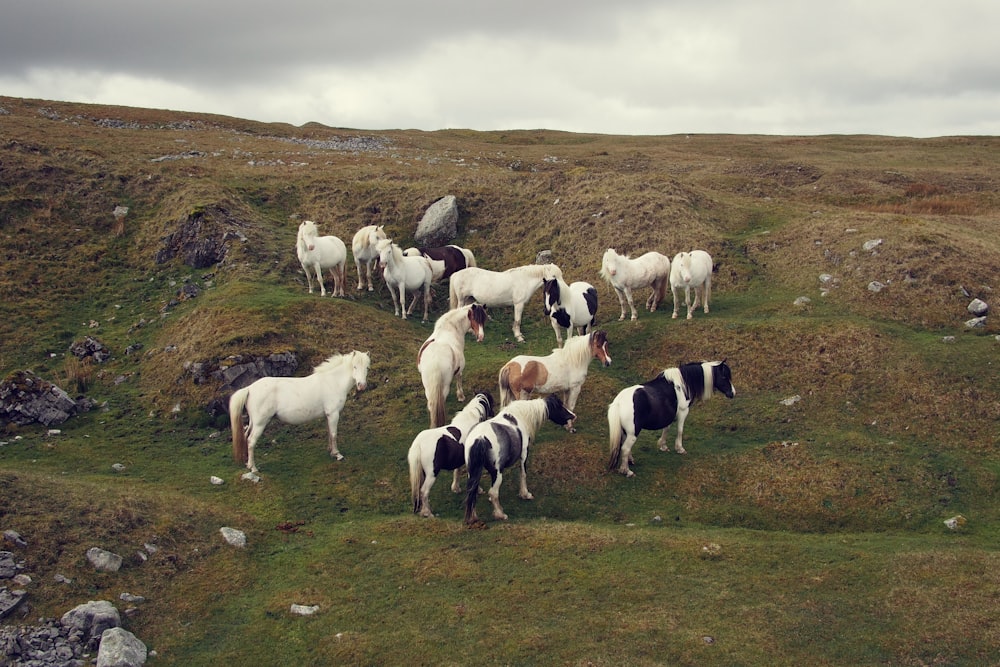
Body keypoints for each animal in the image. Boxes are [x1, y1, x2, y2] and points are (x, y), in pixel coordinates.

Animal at [230, 350, 372, 474]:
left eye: (367, 368)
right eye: (354, 367)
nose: (362, 386)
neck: (333, 382)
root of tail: (249, 388)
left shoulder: (328, 415)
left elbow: (329, 433)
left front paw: (331, 451)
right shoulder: (333, 414)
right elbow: (333, 434)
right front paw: (337, 454)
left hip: (253, 422)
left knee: (246, 436)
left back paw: (247, 463)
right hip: (260, 424)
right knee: (251, 441)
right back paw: (253, 468)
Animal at [406, 388, 496, 520]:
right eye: (492, 401)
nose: (494, 414)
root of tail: (419, 443)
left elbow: (457, 471)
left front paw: (456, 488)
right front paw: (478, 490)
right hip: (432, 473)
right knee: (424, 491)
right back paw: (428, 513)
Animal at [462, 394, 576, 524]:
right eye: (560, 406)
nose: (573, 416)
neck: (519, 416)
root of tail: (480, 438)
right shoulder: (524, 454)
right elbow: (523, 474)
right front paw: (525, 494)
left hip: (472, 472)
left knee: (472, 491)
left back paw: (473, 517)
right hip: (497, 473)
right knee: (493, 492)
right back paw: (500, 514)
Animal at [600, 362, 736, 478]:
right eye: (724, 376)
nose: (733, 393)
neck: (682, 384)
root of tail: (618, 402)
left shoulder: (669, 415)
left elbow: (667, 428)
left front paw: (663, 445)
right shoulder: (683, 412)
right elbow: (680, 430)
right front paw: (680, 448)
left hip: (626, 432)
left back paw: (630, 460)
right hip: (633, 433)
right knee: (625, 448)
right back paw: (626, 471)